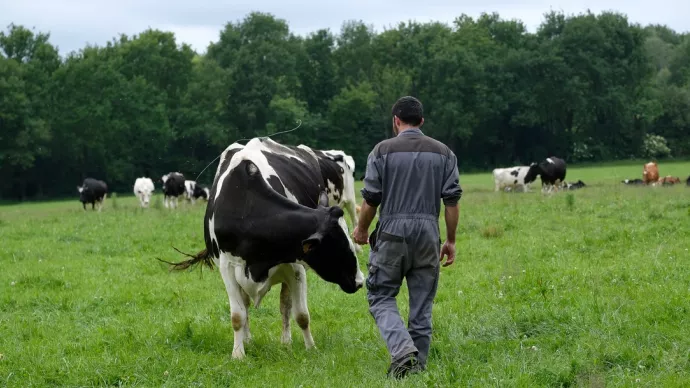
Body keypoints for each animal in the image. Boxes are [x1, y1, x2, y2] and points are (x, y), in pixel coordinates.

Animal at [164, 138, 362, 360]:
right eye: (339, 246)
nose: (360, 281)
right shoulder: (227, 267)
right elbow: (238, 315)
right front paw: (238, 354)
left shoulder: (296, 267)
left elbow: (301, 314)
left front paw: (311, 348)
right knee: (247, 305)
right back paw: (248, 340)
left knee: (285, 304)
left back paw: (285, 342)